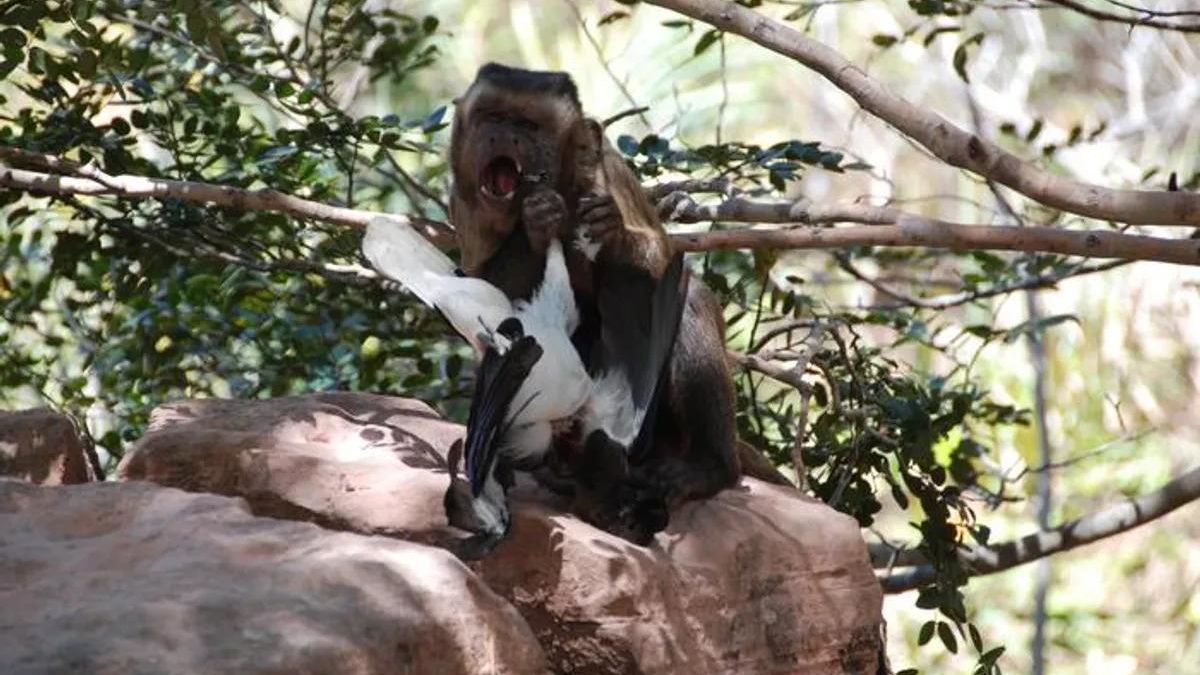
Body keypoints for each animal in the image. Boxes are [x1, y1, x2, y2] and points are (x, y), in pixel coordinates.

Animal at [450, 63, 741, 539]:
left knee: (687, 300)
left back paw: (709, 466)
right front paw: (537, 221)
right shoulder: (464, 198)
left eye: (528, 126)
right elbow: (480, 296)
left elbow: (662, 264)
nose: (501, 135)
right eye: (492, 117)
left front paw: (612, 231)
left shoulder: (604, 168)